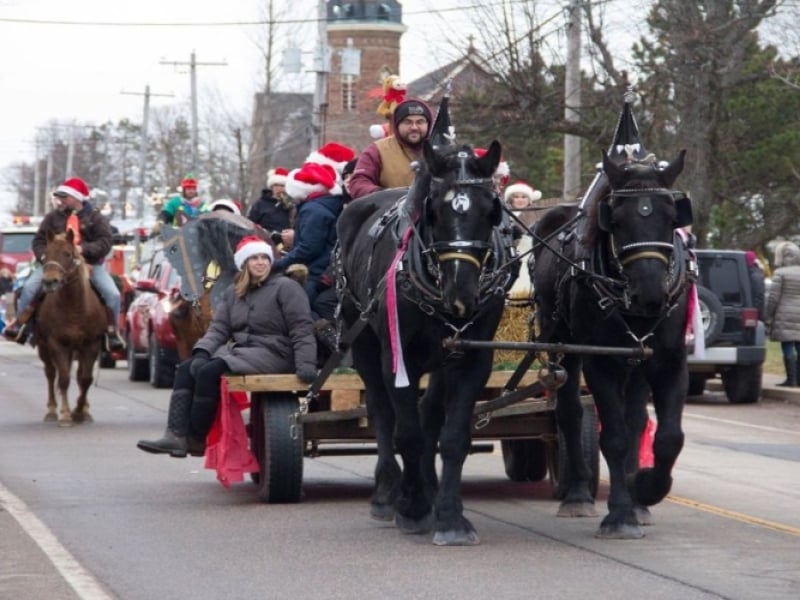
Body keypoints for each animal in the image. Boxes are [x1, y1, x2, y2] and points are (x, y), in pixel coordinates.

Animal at [37, 229, 107, 422]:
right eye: (46, 254)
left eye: (67, 254)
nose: (49, 282)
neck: (74, 308)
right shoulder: (57, 344)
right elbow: (63, 379)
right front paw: (66, 414)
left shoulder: (91, 345)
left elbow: (85, 379)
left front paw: (79, 411)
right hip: (44, 346)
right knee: (50, 373)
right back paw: (52, 410)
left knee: (77, 374)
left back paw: (84, 410)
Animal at [336, 139, 512, 544]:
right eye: (436, 210)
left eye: (489, 210)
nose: (461, 292)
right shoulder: (397, 357)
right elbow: (408, 434)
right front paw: (412, 507)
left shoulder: (472, 358)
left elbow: (452, 436)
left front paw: (450, 516)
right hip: (363, 340)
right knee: (382, 414)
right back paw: (387, 494)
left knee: (430, 412)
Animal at [532, 149, 692, 540]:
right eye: (616, 221)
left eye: (672, 217)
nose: (651, 294)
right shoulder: (601, 362)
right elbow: (614, 438)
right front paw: (620, 515)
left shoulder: (670, 362)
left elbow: (668, 437)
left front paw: (645, 488)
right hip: (562, 343)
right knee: (570, 413)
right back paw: (577, 495)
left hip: (636, 363)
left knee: (636, 421)